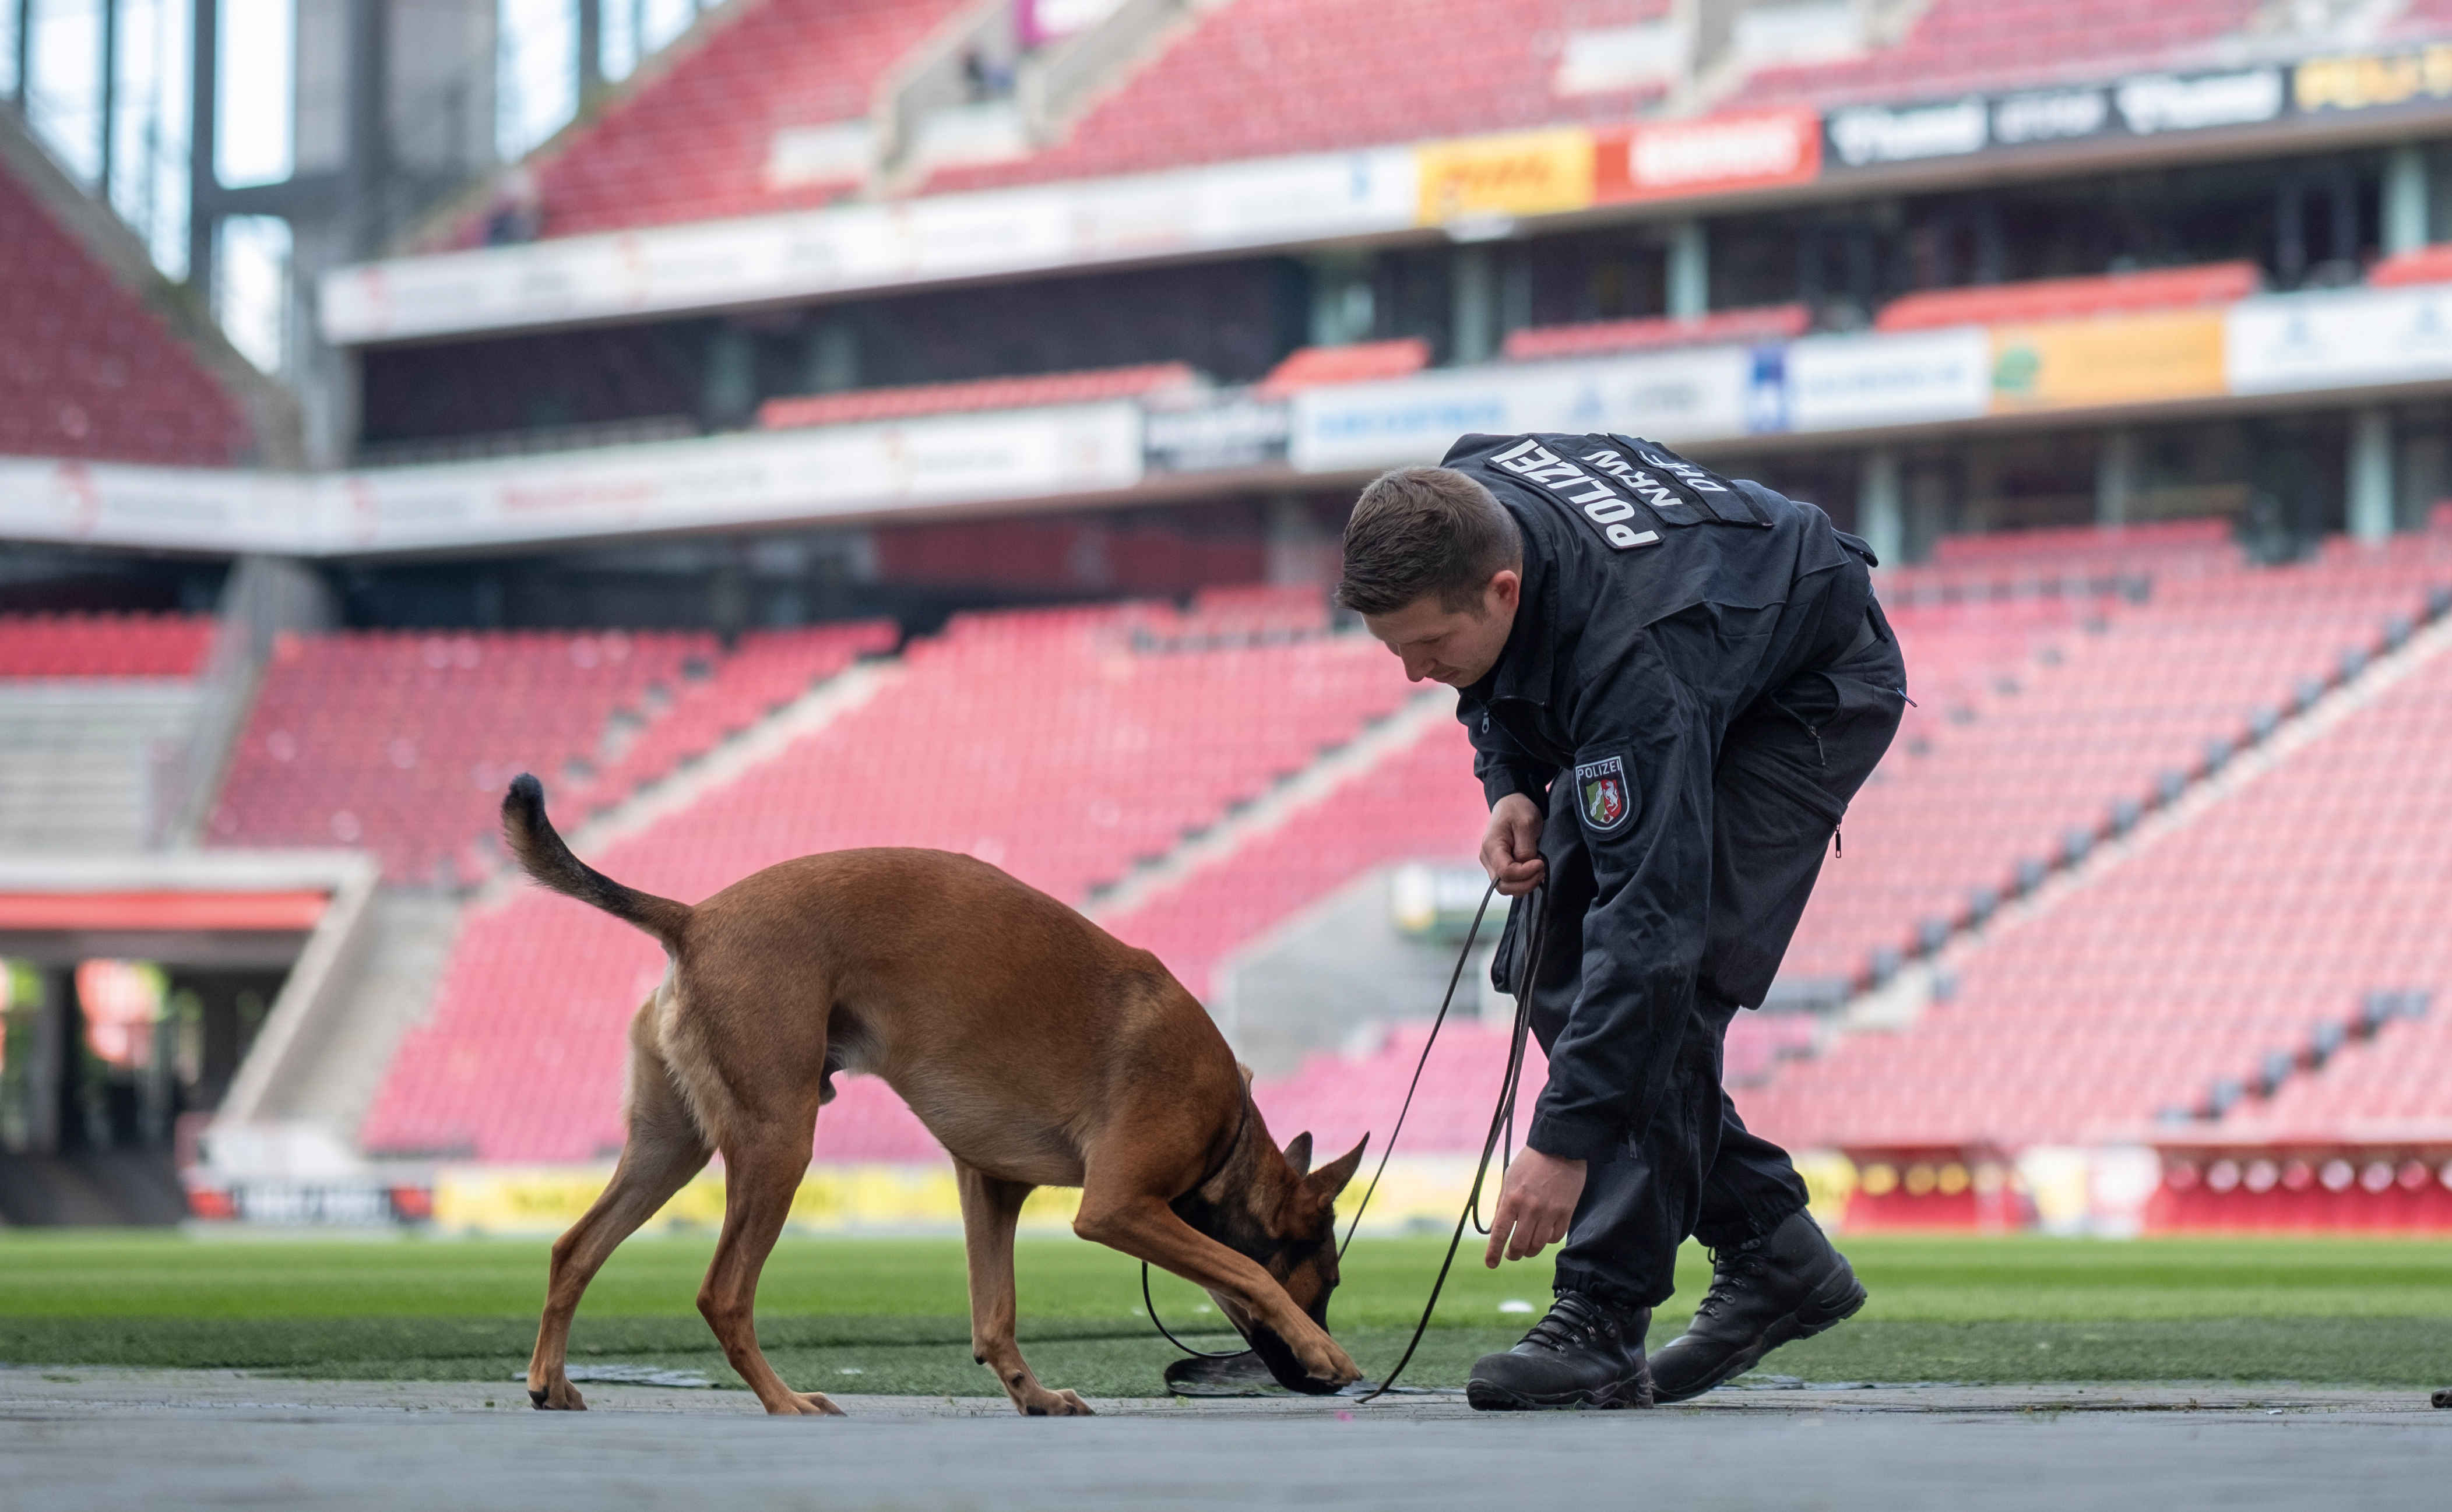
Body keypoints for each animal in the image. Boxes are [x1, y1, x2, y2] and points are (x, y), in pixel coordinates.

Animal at [500, 779, 1373, 1411]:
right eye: (1328, 1284)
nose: (1315, 1380)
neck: (1228, 1133)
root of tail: (695, 918)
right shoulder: (1116, 1206)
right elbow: (1247, 1272)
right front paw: (1325, 1348)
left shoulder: (991, 1185)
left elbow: (995, 1314)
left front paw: (1033, 1395)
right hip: (778, 1142)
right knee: (723, 1294)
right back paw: (784, 1401)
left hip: (671, 1145)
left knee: (573, 1247)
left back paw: (550, 1381)